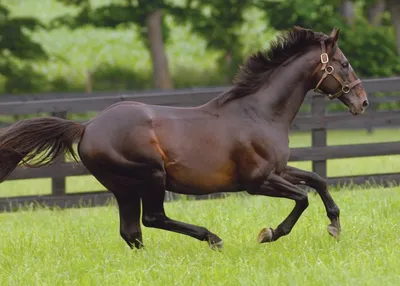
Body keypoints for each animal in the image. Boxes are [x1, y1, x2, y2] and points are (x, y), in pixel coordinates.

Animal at [0, 26, 368, 250]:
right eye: (344, 63)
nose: (363, 102)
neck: (259, 112)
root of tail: (87, 126)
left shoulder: (277, 170)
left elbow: (317, 179)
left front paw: (335, 226)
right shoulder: (257, 180)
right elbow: (302, 197)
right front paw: (268, 233)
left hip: (124, 188)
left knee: (132, 232)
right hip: (150, 176)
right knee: (152, 219)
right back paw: (212, 238)